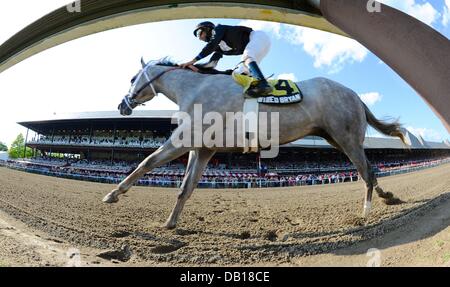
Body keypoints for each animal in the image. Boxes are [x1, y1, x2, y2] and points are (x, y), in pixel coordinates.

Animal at [103, 58, 406, 230]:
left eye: (133, 79)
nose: (122, 106)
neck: (196, 89)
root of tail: (353, 93)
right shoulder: (203, 149)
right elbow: (185, 187)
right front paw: (170, 222)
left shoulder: (182, 141)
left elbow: (146, 162)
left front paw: (113, 194)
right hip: (337, 138)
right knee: (370, 170)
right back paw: (387, 197)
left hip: (346, 138)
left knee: (366, 172)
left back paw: (365, 211)